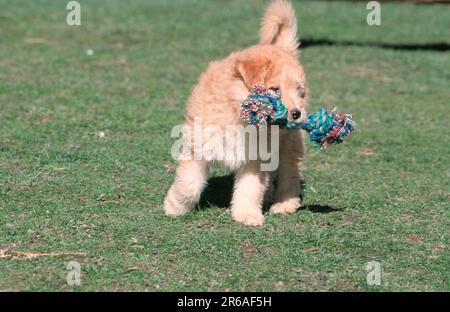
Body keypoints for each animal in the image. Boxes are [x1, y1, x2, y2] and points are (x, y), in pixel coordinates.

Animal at [163, 0, 308, 225]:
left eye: (299, 92)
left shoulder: (254, 157)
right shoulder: (198, 145)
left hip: (289, 143)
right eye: (275, 89)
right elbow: (188, 184)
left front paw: (248, 214)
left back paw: (284, 204)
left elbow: (250, 188)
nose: (296, 113)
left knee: (289, 173)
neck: (237, 115)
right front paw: (175, 207)